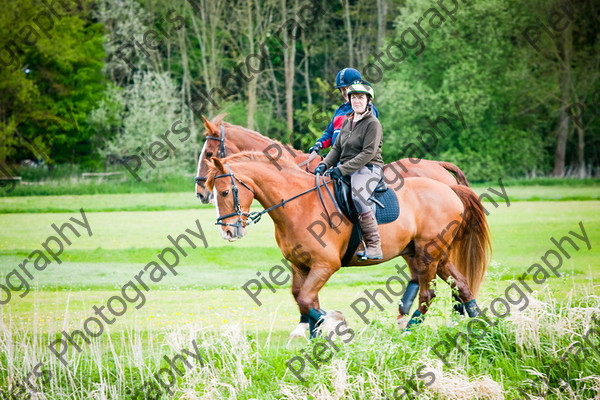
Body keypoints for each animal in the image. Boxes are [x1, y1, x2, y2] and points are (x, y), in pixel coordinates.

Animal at [204, 153, 490, 338]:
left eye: (225, 192)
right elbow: (302, 298)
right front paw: (316, 334)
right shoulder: (300, 265)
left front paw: (333, 323)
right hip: (435, 255)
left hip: (428, 253)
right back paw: (481, 325)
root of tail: (449, 189)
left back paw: (409, 329)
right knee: (461, 285)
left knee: (427, 293)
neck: (297, 205)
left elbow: (306, 299)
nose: (228, 231)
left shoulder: (325, 264)